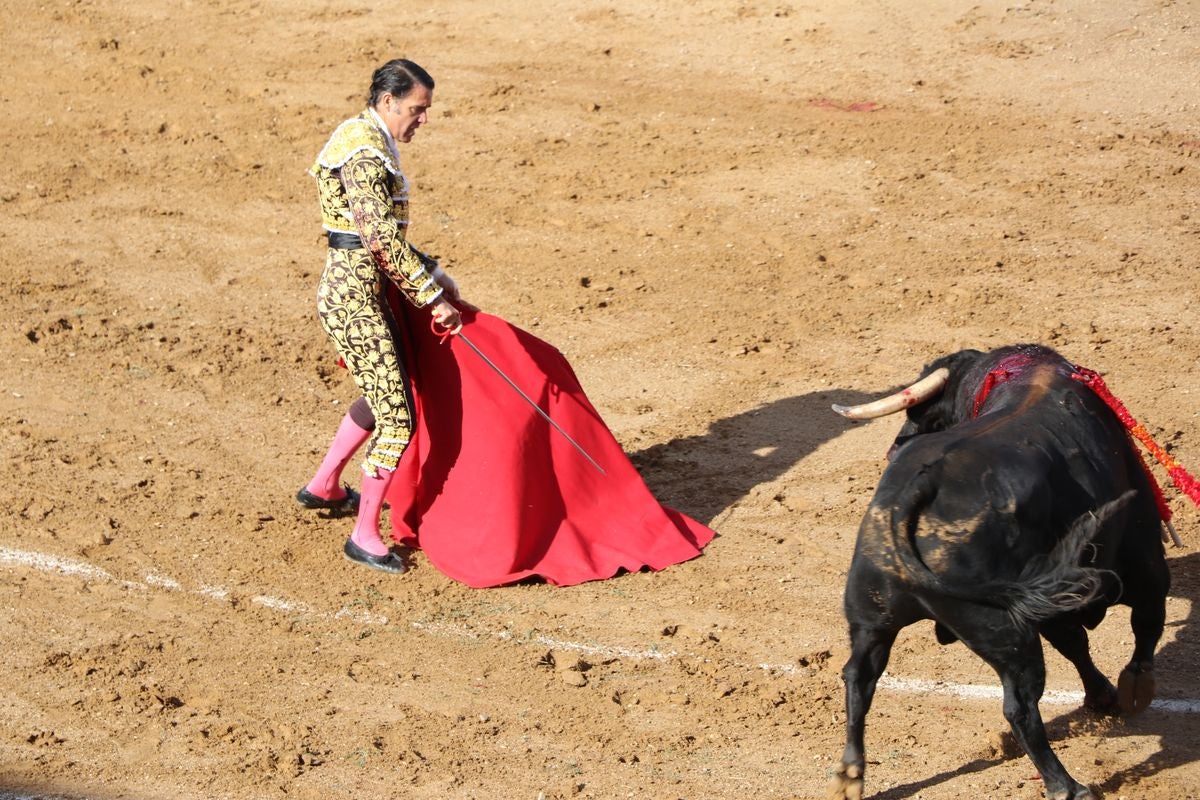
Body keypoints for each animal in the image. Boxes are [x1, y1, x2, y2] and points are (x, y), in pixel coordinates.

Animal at [825, 345, 1171, 800]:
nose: (896, 444)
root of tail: (911, 495)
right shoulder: (1144, 558)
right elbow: (1146, 623)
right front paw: (1134, 689)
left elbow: (1075, 644)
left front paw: (1103, 695)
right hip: (1006, 634)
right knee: (1020, 706)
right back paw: (1066, 785)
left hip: (871, 618)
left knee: (859, 678)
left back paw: (850, 774)